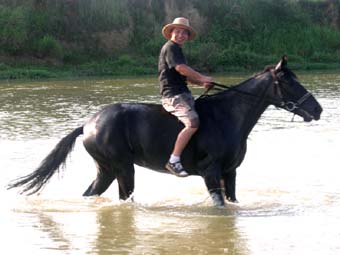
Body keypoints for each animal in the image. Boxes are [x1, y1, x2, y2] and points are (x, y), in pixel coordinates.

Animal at [7, 56, 322, 207]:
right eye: (290, 82)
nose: (317, 110)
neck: (229, 116)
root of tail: (87, 125)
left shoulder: (230, 173)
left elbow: (232, 202)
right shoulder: (211, 172)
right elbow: (219, 205)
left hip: (106, 170)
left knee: (90, 194)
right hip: (122, 169)